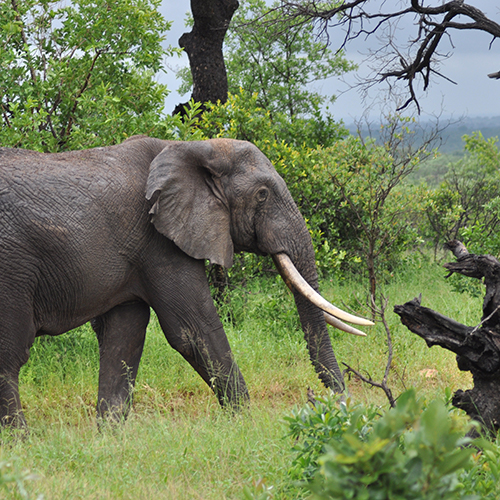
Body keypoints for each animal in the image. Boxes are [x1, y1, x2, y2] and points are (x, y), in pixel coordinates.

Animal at [0, 136, 370, 426]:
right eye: (263, 194)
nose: (338, 397)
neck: (193, 147)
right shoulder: (159, 241)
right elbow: (194, 330)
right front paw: (245, 425)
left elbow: (124, 339)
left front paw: (109, 439)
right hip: (12, 265)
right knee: (9, 357)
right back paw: (21, 441)